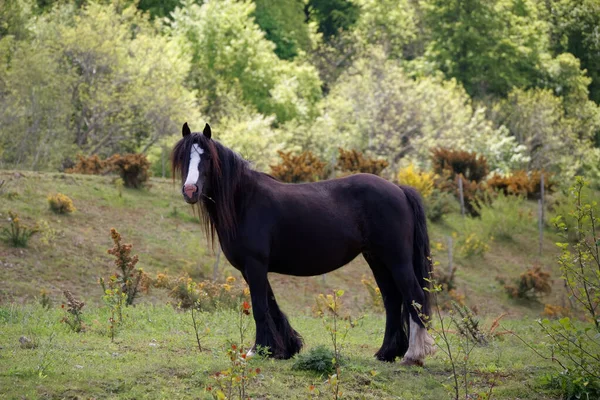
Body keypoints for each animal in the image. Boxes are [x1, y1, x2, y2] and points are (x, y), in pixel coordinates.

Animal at [171, 122, 434, 366]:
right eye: (184, 157)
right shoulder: (252, 268)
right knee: (393, 300)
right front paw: (284, 348)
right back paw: (386, 353)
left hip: (397, 259)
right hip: (377, 259)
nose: (190, 190)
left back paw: (412, 355)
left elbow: (260, 306)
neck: (244, 201)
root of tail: (399, 189)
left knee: (414, 295)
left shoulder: (255, 264)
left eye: (207, 157)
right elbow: (271, 304)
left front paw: (258, 350)